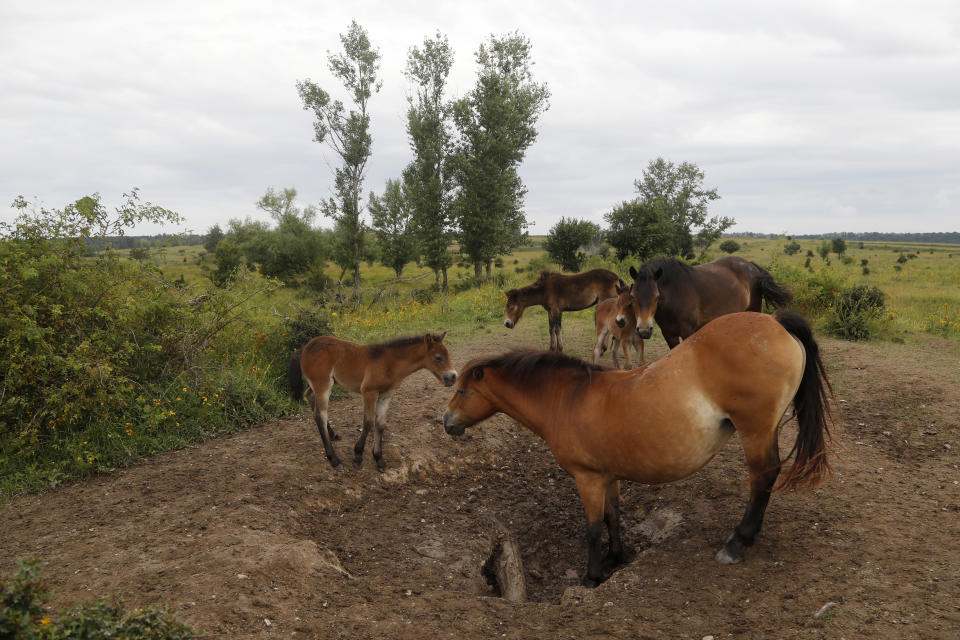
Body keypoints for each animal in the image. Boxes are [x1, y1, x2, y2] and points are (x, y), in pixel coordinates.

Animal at [288, 332, 458, 472]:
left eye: (448, 355)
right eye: (438, 357)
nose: (453, 377)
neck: (389, 363)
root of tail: (304, 348)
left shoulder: (386, 395)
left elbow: (380, 424)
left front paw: (379, 458)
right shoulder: (369, 392)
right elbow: (368, 421)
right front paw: (358, 456)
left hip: (321, 385)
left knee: (309, 396)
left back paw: (333, 434)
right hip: (323, 385)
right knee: (320, 415)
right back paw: (334, 459)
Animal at [442, 312, 832, 588]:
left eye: (462, 391)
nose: (446, 422)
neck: (568, 399)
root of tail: (775, 322)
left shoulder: (587, 479)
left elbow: (592, 527)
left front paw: (593, 576)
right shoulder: (608, 476)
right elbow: (613, 516)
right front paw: (617, 558)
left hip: (755, 431)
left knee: (763, 477)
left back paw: (737, 543)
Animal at [498, 268, 628, 352]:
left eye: (512, 307)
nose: (507, 323)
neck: (545, 290)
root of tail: (616, 277)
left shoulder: (557, 310)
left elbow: (557, 329)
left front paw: (560, 348)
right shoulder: (550, 311)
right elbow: (551, 329)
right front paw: (551, 348)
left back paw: (603, 348)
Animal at [628, 256, 792, 350]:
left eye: (656, 297)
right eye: (632, 297)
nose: (644, 330)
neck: (675, 293)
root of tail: (751, 266)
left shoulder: (688, 332)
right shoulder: (669, 335)